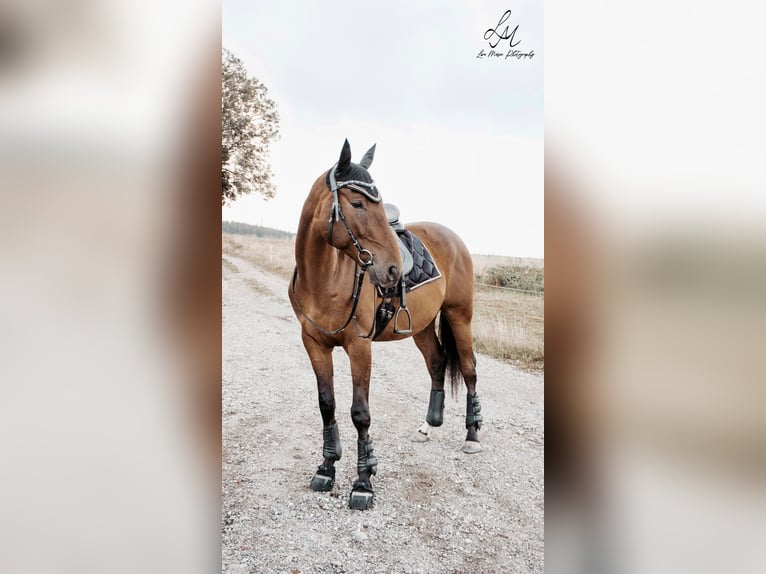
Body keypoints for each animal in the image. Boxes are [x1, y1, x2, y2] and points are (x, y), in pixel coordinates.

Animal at [288, 139, 483, 510]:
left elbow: (360, 413)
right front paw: (326, 467)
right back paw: (428, 426)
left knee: (468, 370)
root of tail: (454, 238)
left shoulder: (359, 347)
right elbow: (327, 405)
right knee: (437, 363)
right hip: (422, 326)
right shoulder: (314, 344)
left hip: (459, 315)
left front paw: (363, 482)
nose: (393, 270)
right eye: (357, 203)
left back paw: (472, 435)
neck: (325, 279)